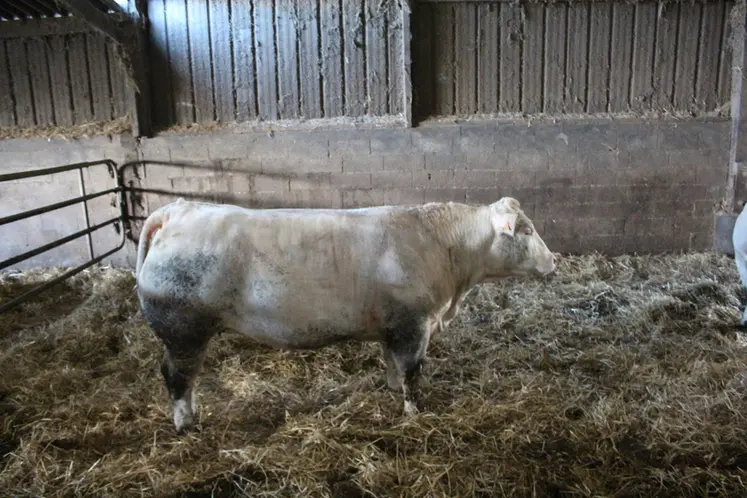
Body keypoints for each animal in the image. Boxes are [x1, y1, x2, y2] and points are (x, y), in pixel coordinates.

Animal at [134, 196, 556, 433]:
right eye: (526, 230)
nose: (553, 260)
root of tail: (177, 211)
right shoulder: (414, 324)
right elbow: (412, 371)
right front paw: (414, 411)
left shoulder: (393, 326)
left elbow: (391, 364)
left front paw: (391, 390)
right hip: (182, 329)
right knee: (176, 376)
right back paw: (186, 424)